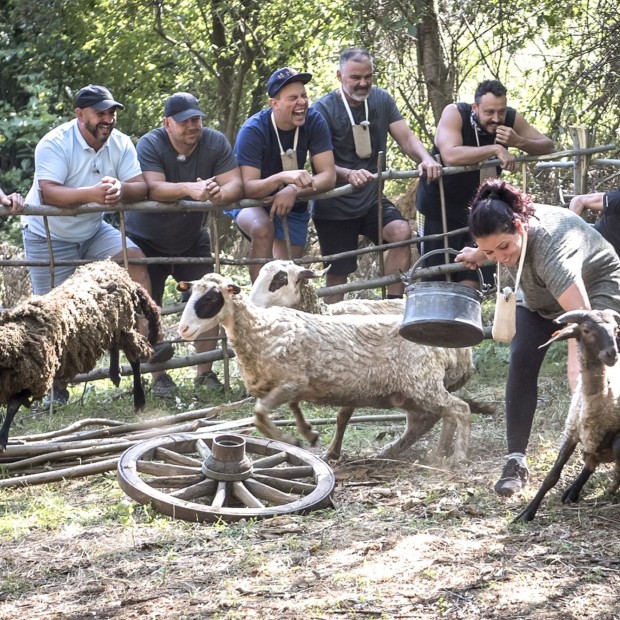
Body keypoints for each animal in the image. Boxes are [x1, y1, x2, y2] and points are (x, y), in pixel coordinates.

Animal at [0, 258, 162, 450]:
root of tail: (116, 268)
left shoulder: (37, 379)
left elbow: (13, 405)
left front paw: (3, 438)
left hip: (124, 324)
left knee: (134, 359)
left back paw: (138, 400)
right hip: (111, 327)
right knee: (115, 347)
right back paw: (115, 374)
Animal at [179, 272, 474, 464]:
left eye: (211, 297)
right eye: (190, 295)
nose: (183, 329)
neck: (261, 328)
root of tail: (446, 348)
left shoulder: (290, 383)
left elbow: (259, 416)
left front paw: (293, 441)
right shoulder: (290, 387)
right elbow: (292, 410)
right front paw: (309, 434)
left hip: (421, 384)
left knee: (459, 409)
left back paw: (456, 457)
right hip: (409, 392)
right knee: (433, 417)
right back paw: (426, 453)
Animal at [512, 310, 620, 524]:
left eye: (615, 329)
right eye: (586, 330)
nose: (613, 354)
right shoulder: (571, 431)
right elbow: (552, 475)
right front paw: (527, 512)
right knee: (589, 463)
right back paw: (573, 491)